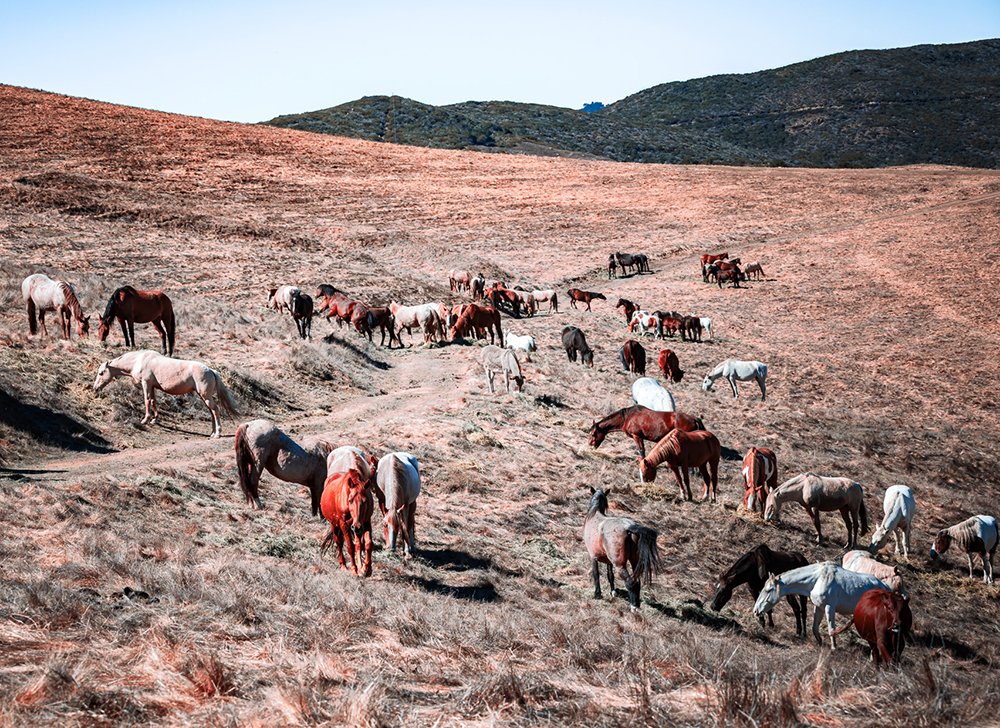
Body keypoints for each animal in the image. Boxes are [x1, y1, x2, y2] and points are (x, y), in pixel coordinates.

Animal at [93, 350, 238, 438]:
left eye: (101, 373)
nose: (95, 388)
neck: (139, 360)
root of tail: (211, 370)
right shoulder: (152, 386)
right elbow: (153, 401)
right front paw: (154, 420)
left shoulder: (146, 384)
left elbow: (147, 400)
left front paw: (145, 420)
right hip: (204, 396)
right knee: (212, 411)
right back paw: (212, 433)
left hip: (205, 396)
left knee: (215, 410)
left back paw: (217, 434)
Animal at [753, 562, 891, 649]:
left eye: (768, 590)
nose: (755, 611)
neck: (818, 578)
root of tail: (885, 587)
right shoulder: (818, 607)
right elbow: (814, 627)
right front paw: (820, 643)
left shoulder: (829, 608)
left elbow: (831, 629)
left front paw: (834, 648)